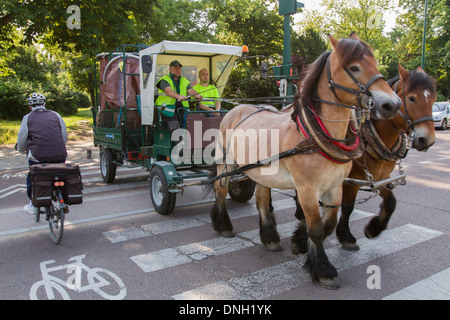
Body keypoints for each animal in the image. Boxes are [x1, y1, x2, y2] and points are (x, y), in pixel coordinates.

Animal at [207, 33, 400, 290]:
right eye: (354, 67)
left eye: (376, 63)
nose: (392, 104)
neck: (314, 135)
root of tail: (235, 109)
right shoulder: (307, 189)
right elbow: (316, 227)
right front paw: (324, 269)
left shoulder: (335, 186)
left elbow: (329, 223)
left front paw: (299, 242)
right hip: (226, 163)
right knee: (220, 189)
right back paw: (224, 225)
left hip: (262, 171)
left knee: (261, 200)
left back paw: (270, 237)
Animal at [334, 65, 436, 250]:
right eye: (411, 98)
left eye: (433, 99)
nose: (428, 140)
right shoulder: (351, 179)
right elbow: (348, 207)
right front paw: (346, 235)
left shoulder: (380, 177)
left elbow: (391, 202)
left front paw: (374, 229)